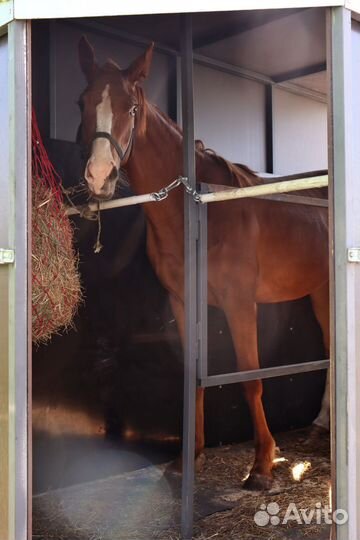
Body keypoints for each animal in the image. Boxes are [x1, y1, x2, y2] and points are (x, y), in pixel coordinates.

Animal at [77, 38, 330, 490]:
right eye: (83, 102)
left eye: (131, 107)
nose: (100, 176)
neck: (198, 214)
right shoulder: (182, 302)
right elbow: (191, 375)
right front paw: (188, 457)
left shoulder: (239, 303)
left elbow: (250, 379)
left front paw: (261, 467)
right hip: (319, 291)